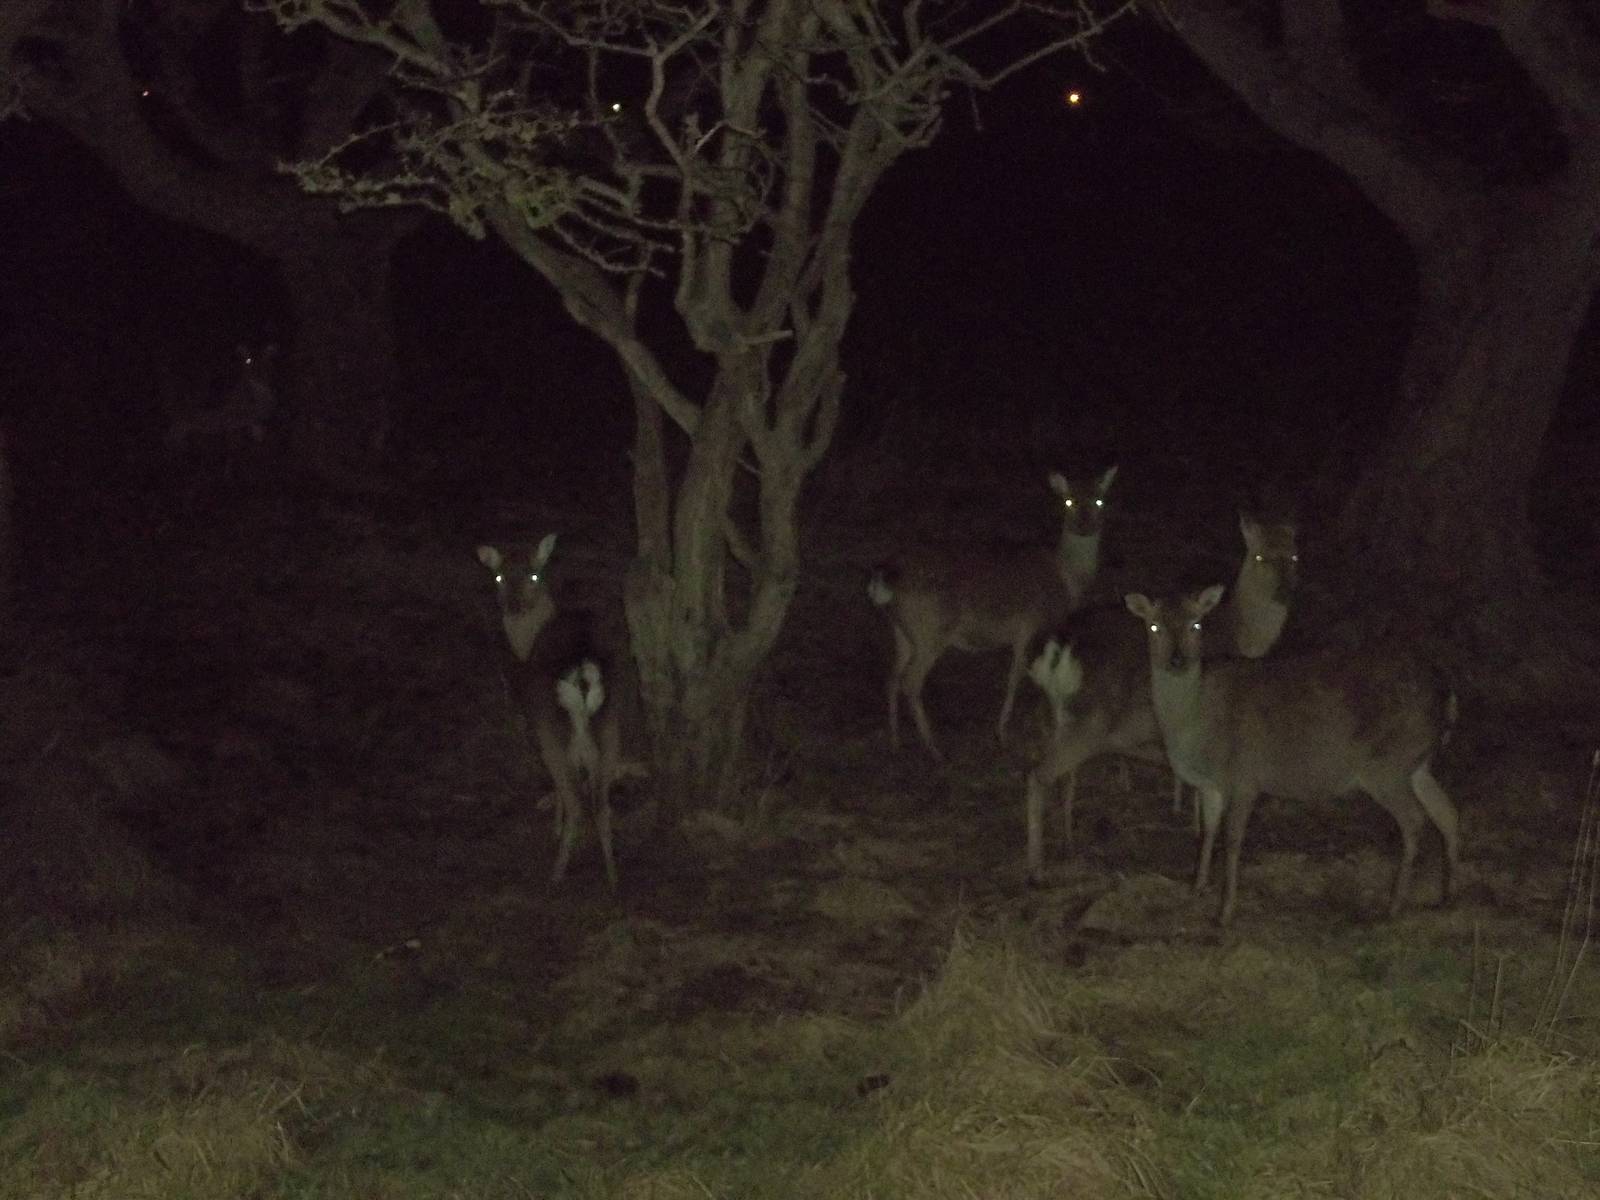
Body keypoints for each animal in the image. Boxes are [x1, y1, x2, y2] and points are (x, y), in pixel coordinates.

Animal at [478, 535, 621, 889]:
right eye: (498, 577)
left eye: (535, 575)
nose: (513, 606)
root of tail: (582, 675)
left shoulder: (537, 724)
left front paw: (556, 829)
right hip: (611, 727)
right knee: (601, 803)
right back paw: (613, 878)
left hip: (552, 732)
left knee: (577, 801)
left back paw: (556, 873)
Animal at [867, 465, 1117, 761]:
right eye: (1068, 501)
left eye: (1099, 500)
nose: (1084, 524)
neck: (1068, 581)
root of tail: (886, 578)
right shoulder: (1031, 625)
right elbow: (1016, 678)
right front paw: (1002, 733)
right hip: (931, 629)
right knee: (910, 682)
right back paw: (934, 748)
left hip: (901, 631)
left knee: (891, 677)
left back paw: (895, 742)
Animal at [1023, 512, 1299, 881]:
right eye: (1260, 556)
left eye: (1294, 556)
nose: (1285, 592)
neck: (1243, 636)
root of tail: (1055, 651)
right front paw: (1195, 827)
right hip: (1089, 721)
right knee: (1039, 775)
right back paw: (1036, 870)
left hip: (1057, 714)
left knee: (1061, 775)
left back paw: (1067, 842)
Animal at [1124, 585, 1460, 926]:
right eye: (1154, 626)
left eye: (1196, 624)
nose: (1177, 660)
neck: (1192, 727)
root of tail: (1447, 694)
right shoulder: (1209, 784)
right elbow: (1207, 832)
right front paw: (1197, 888)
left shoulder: (1244, 776)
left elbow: (1232, 841)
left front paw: (1225, 912)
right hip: (1417, 763)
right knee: (1448, 815)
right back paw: (1446, 897)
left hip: (1386, 765)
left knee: (1415, 820)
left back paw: (1394, 906)